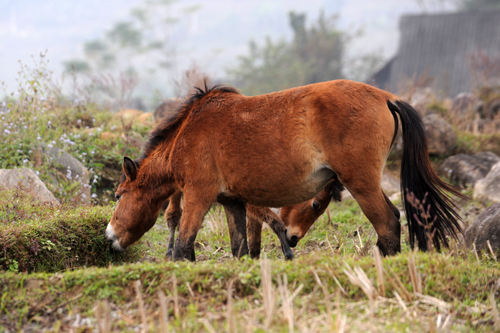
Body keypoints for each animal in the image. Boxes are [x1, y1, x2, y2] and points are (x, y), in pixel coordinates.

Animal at [107, 79, 466, 260]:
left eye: (119, 195)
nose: (109, 236)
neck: (190, 130)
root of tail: (386, 97)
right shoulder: (232, 202)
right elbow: (240, 250)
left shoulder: (198, 195)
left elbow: (184, 247)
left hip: (362, 184)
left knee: (389, 225)